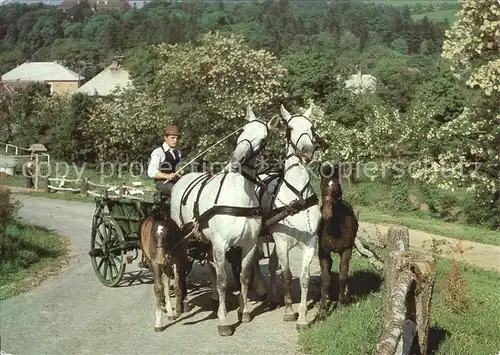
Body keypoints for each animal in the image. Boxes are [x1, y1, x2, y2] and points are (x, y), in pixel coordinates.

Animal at [170, 105, 280, 336]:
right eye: (243, 129)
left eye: (263, 138)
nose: (236, 160)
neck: (237, 197)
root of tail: (181, 179)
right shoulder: (221, 244)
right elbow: (222, 281)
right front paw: (224, 321)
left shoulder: (248, 244)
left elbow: (244, 276)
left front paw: (244, 312)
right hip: (182, 239)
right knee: (180, 267)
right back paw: (182, 302)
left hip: (205, 240)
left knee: (210, 266)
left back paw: (211, 297)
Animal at [260, 104, 322, 332]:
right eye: (290, 127)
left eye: (312, 127)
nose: (306, 151)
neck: (297, 196)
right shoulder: (281, 241)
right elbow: (286, 275)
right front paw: (289, 312)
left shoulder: (311, 241)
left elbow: (304, 278)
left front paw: (303, 318)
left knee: (270, 264)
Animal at [318, 164, 358, 314]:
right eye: (322, 187)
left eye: (337, 189)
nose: (326, 215)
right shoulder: (323, 252)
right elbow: (325, 278)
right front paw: (323, 307)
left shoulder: (346, 250)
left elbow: (342, 275)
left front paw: (341, 303)